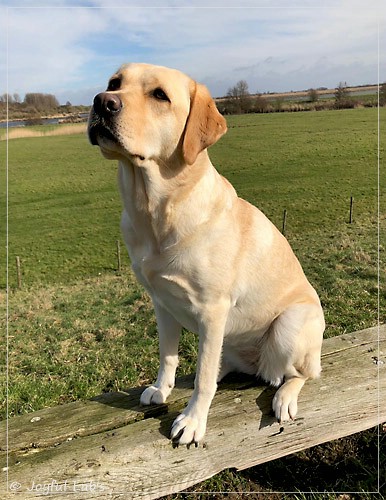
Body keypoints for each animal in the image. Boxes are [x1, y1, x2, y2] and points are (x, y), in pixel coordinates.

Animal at [88, 61, 326, 446]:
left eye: (160, 95)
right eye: (114, 83)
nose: (101, 102)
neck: (155, 210)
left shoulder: (212, 309)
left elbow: (201, 379)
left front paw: (192, 421)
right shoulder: (161, 303)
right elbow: (168, 355)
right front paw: (161, 388)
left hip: (288, 326)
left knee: (299, 373)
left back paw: (284, 397)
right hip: (229, 336)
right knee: (221, 363)